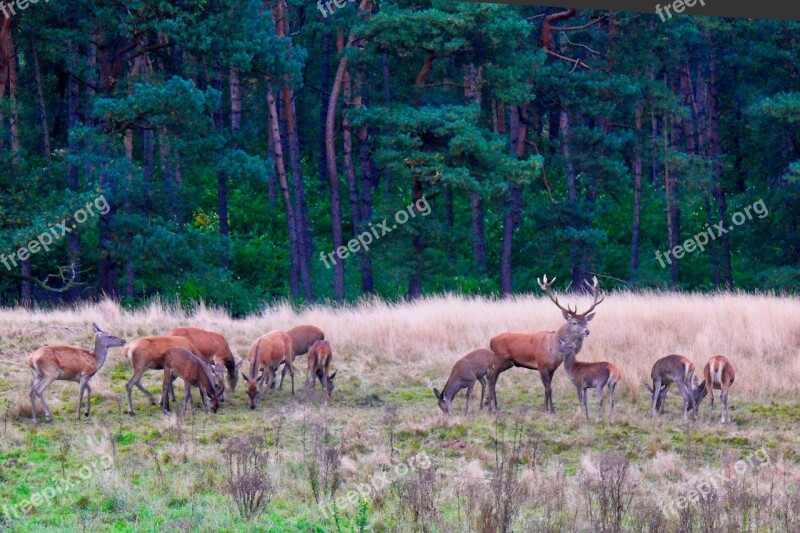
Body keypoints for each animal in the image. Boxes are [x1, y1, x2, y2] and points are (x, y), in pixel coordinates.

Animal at [484, 276, 604, 414]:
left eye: (586, 322)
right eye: (574, 322)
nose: (587, 331)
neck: (555, 350)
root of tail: (491, 341)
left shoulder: (552, 368)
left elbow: (548, 388)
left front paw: (545, 408)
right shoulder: (541, 365)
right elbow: (548, 389)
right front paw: (551, 410)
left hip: (508, 362)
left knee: (491, 378)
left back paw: (491, 406)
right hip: (499, 358)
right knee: (492, 380)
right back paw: (493, 407)